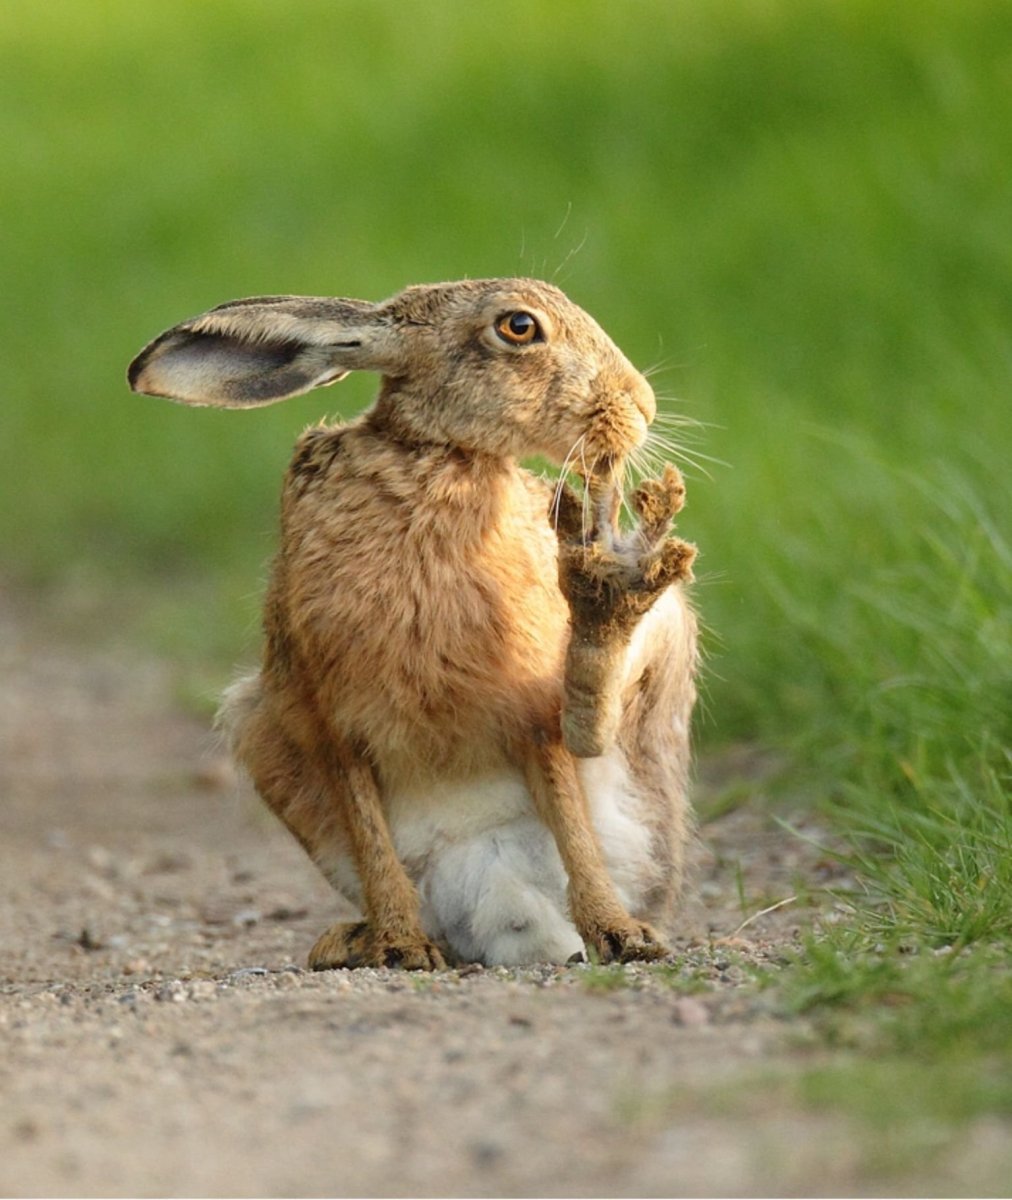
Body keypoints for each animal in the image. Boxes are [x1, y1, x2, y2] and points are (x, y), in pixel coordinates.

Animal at [128, 278, 698, 970]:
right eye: (519, 327)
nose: (641, 406)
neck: (437, 457)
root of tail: (509, 911)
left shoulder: (533, 715)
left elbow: (570, 812)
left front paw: (616, 933)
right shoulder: (328, 717)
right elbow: (371, 837)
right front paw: (400, 946)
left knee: (593, 728)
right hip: (259, 729)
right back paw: (355, 942)